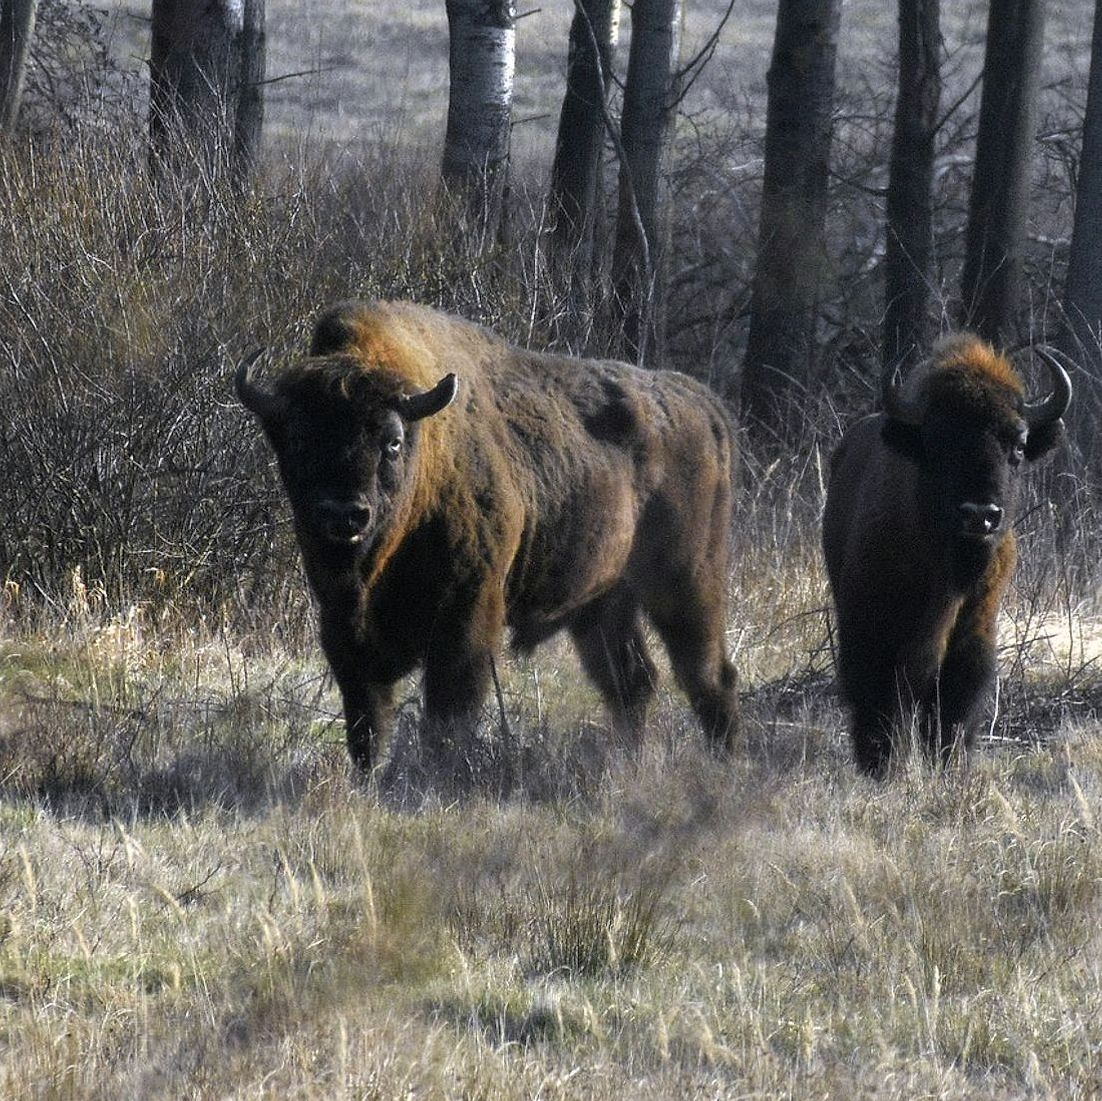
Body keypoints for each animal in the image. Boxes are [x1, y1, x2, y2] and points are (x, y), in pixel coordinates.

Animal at [235, 299, 740, 772]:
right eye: (298, 439)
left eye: (391, 442)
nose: (344, 514)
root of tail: (704, 404)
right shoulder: (344, 631)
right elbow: (368, 723)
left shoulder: (466, 619)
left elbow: (448, 715)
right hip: (601, 605)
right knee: (632, 682)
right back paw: (629, 762)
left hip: (686, 583)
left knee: (707, 675)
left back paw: (723, 762)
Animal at [822, 334, 1071, 777]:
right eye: (936, 441)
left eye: (1019, 445)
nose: (980, 514)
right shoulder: (871, 625)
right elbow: (878, 697)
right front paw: (881, 767)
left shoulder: (974, 629)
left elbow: (955, 705)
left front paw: (950, 767)